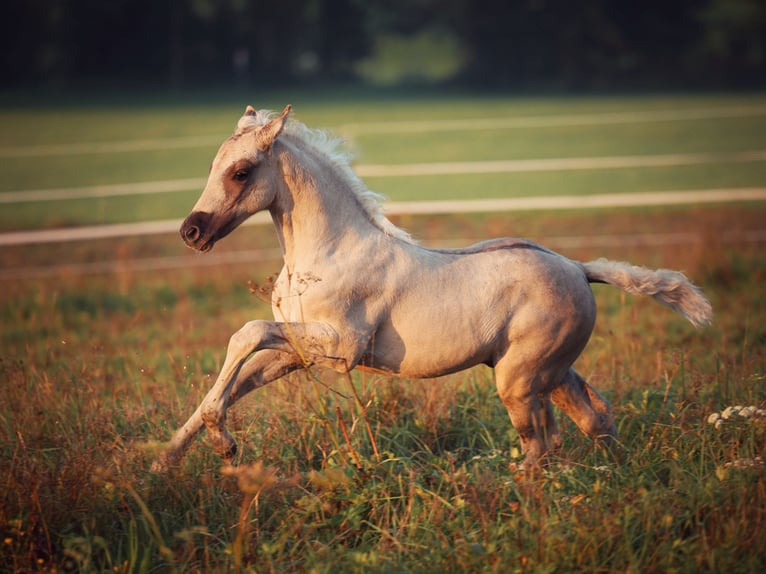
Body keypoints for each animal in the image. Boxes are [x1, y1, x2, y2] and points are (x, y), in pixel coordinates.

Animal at [152, 105, 712, 471]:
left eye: (241, 171)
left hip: (518, 379)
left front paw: (222, 446)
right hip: (550, 372)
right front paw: (171, 458)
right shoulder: (297, 350)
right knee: (595, 419)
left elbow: (244, 334)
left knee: (542, 443)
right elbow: (235, 380)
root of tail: (577, 267)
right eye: (212, 167)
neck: (330, 250)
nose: (191, 231)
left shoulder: (339, 348)